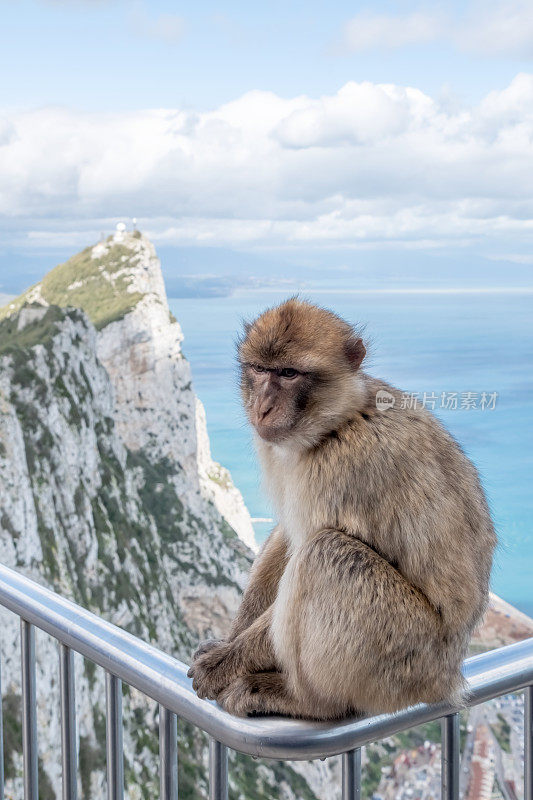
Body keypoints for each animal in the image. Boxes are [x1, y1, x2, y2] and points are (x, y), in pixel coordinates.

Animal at [187, 298, 494, 720]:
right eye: (260, 369)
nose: (261, 407)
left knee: (327, 552)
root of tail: (449, 678)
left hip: (404, 658)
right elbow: (287, 537)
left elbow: (308, 543)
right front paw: (228, 641)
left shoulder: (344, 468)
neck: (336, 423)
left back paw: (305, 701)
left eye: (289, 373)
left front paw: (223, 664)